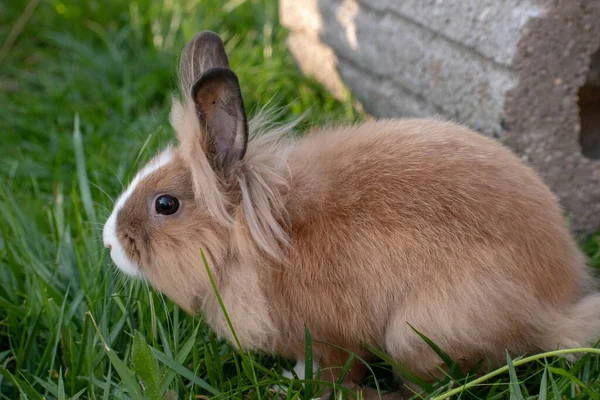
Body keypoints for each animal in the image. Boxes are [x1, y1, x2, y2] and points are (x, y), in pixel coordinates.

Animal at [103, 30, 600, 396]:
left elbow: (330, 370)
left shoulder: (328, 338)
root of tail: (553, 309)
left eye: (165, 205)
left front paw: (292, 387)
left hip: (414, 333)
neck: (256, 238)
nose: (110, 242)